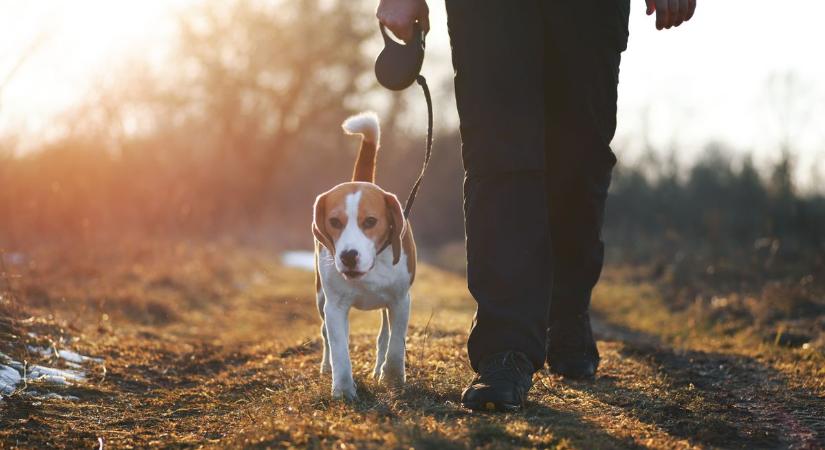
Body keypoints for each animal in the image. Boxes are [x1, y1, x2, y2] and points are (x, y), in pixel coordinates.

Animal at [312, 112, 416, 400]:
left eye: (370, 221)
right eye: (334, 222)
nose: (348, 256)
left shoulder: (400, 300)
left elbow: (396, 344)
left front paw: (393, 379)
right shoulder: (335, 306)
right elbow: (339, 349)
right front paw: (343, 390)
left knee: (384, 337)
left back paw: (380, 368)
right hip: (321, 297)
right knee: (326, 334)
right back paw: (327, 366)